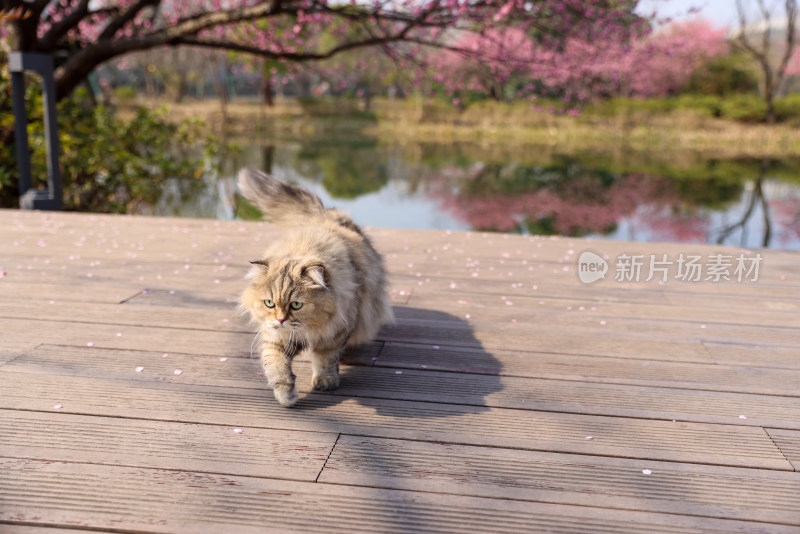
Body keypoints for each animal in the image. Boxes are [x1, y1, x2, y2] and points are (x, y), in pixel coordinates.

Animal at [238, 170, 394, 408]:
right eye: (269, 303)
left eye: (296, 305)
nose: (280, 319)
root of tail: (323, 213)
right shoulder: (275, 338)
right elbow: (275, 365)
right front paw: (286, 395)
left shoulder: (336, 332)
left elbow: (325, 359)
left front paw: (325, 381)